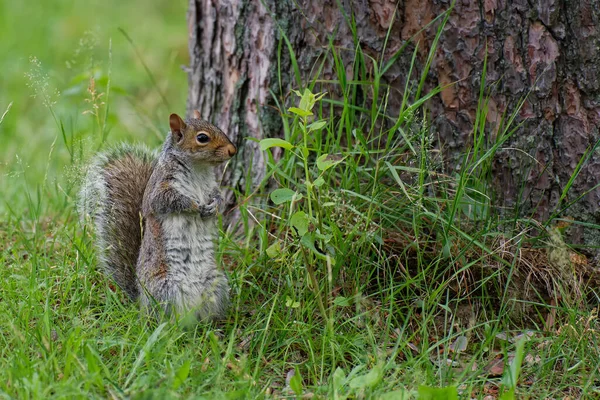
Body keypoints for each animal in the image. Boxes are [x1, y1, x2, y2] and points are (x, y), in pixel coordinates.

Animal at [79, 110, 237, 322]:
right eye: (202, 138)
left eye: (218, 127)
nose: (233, 150)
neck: (199, 169)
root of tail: (141, 300)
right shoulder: (160, 188)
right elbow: (167, 201)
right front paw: (195, 206)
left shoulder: (212, 187)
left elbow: (219, 198)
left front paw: (213, 207)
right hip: (166, 288)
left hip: (216, 283)